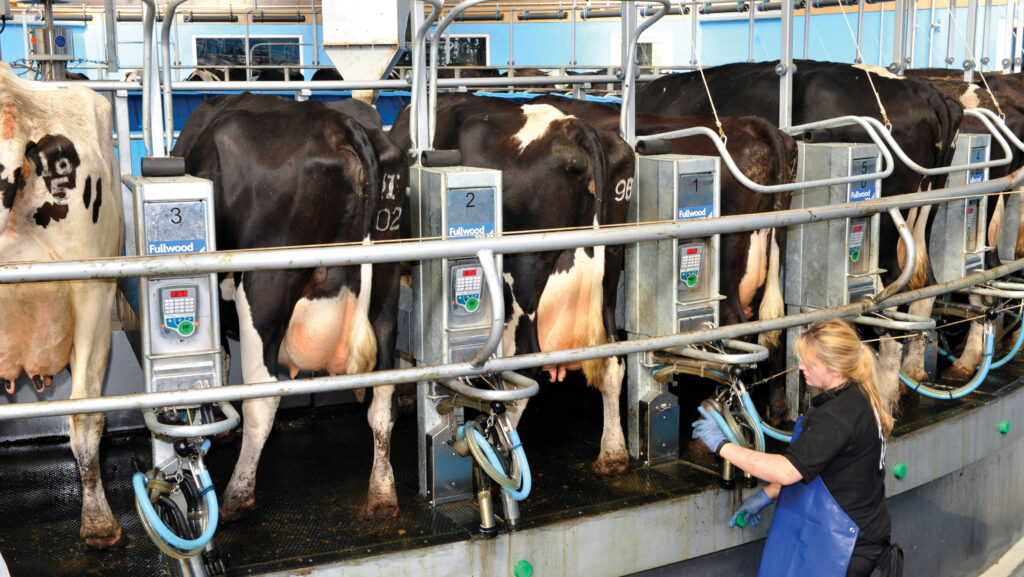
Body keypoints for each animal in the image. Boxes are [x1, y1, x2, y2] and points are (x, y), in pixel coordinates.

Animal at [169, 93, 405, 518]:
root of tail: (341, 126)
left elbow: (223, 359)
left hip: (265, 287)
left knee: (264, 397)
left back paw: (237, 496)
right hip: (386, 287)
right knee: (383, 397)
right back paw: (382, 496)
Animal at [391, 93, 630, 473]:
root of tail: (574, 126)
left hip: (522, 275)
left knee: (524, 366)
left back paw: (496, 448)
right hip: (610, 268)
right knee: (611, 360)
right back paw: (613, 452)